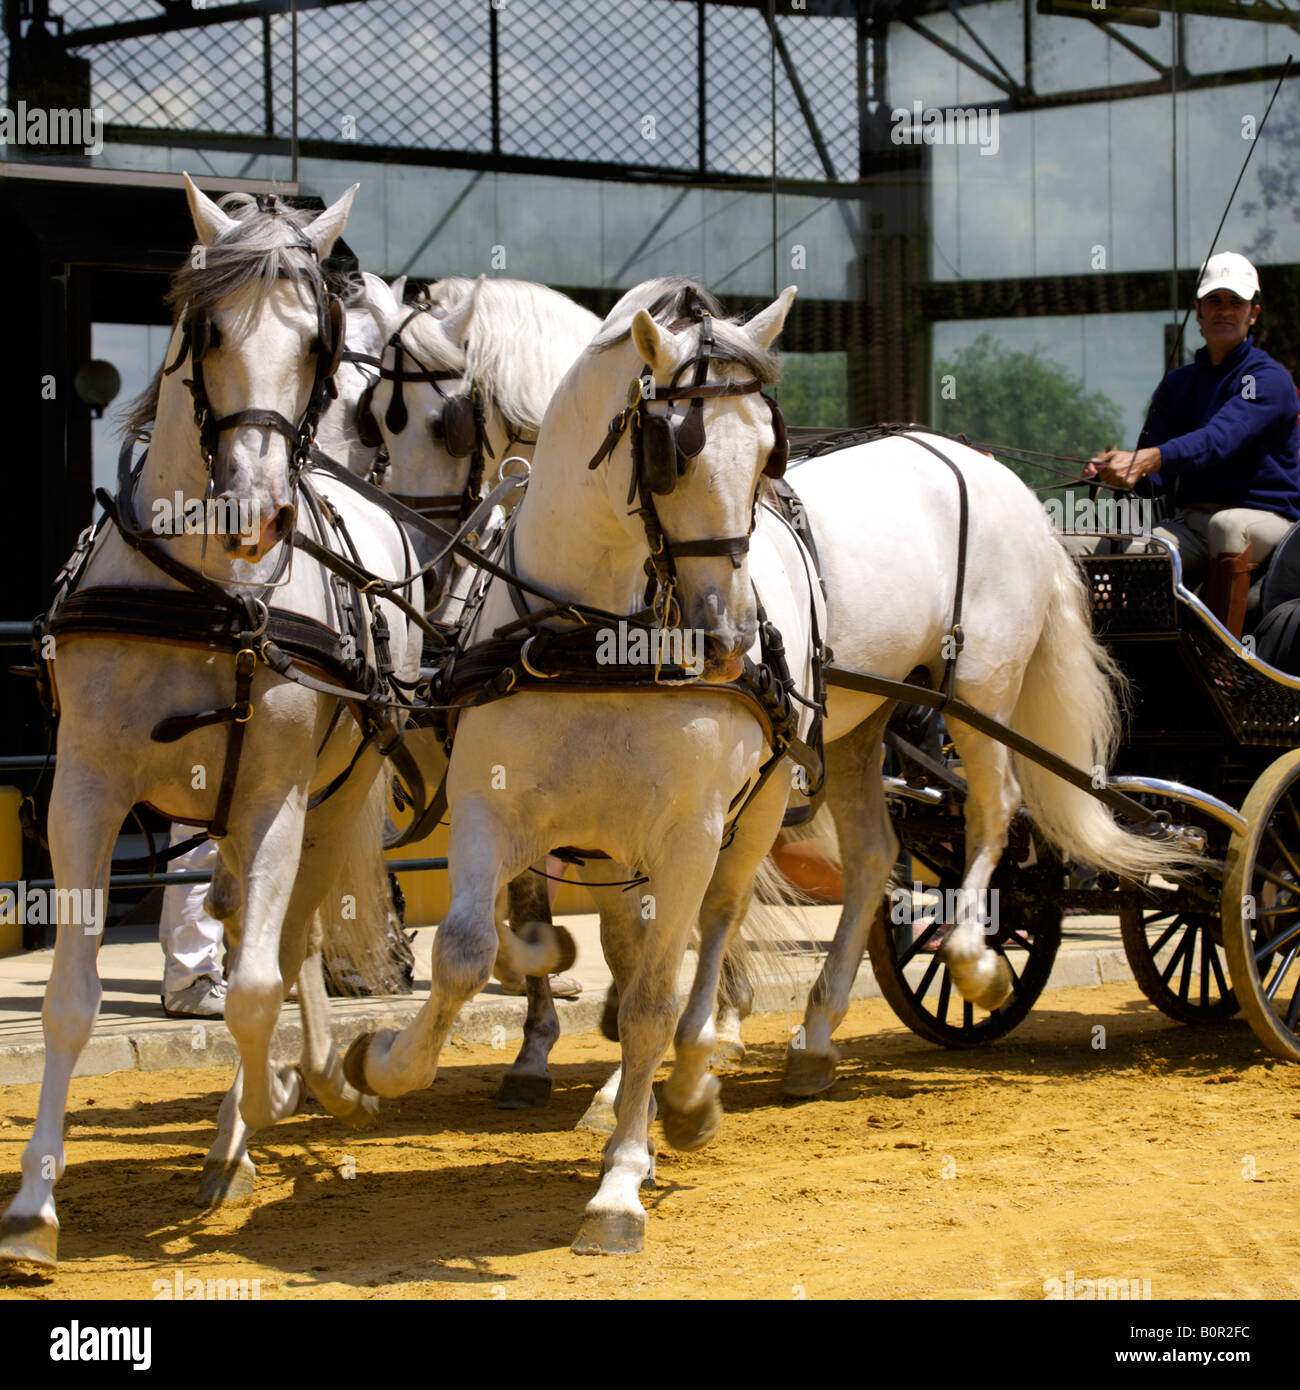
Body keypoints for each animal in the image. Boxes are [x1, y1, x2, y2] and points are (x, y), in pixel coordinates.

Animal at [0, 179, 422, 1267]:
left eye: (314, 344)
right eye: (209, 327)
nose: (258, 509)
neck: (207, 590)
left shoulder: (278, 794)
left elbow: (255, 990)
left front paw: (260, 1111)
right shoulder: (84, 794)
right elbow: (71, 997)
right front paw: (34, 1207)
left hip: (333, 791)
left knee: (290, 940)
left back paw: (287, 1098)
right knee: (265, 935)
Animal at [340, 276, 817, 1256]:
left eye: (767, 455)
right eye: (672, 454)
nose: (727, 640)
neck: (595, 633)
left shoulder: (689, 833)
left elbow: (654, 1002)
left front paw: (621, 1184)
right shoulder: (490, 810)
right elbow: (464, 950)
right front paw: (384, 1061)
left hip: (746, 823)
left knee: (708, 940)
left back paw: (689, 1088)